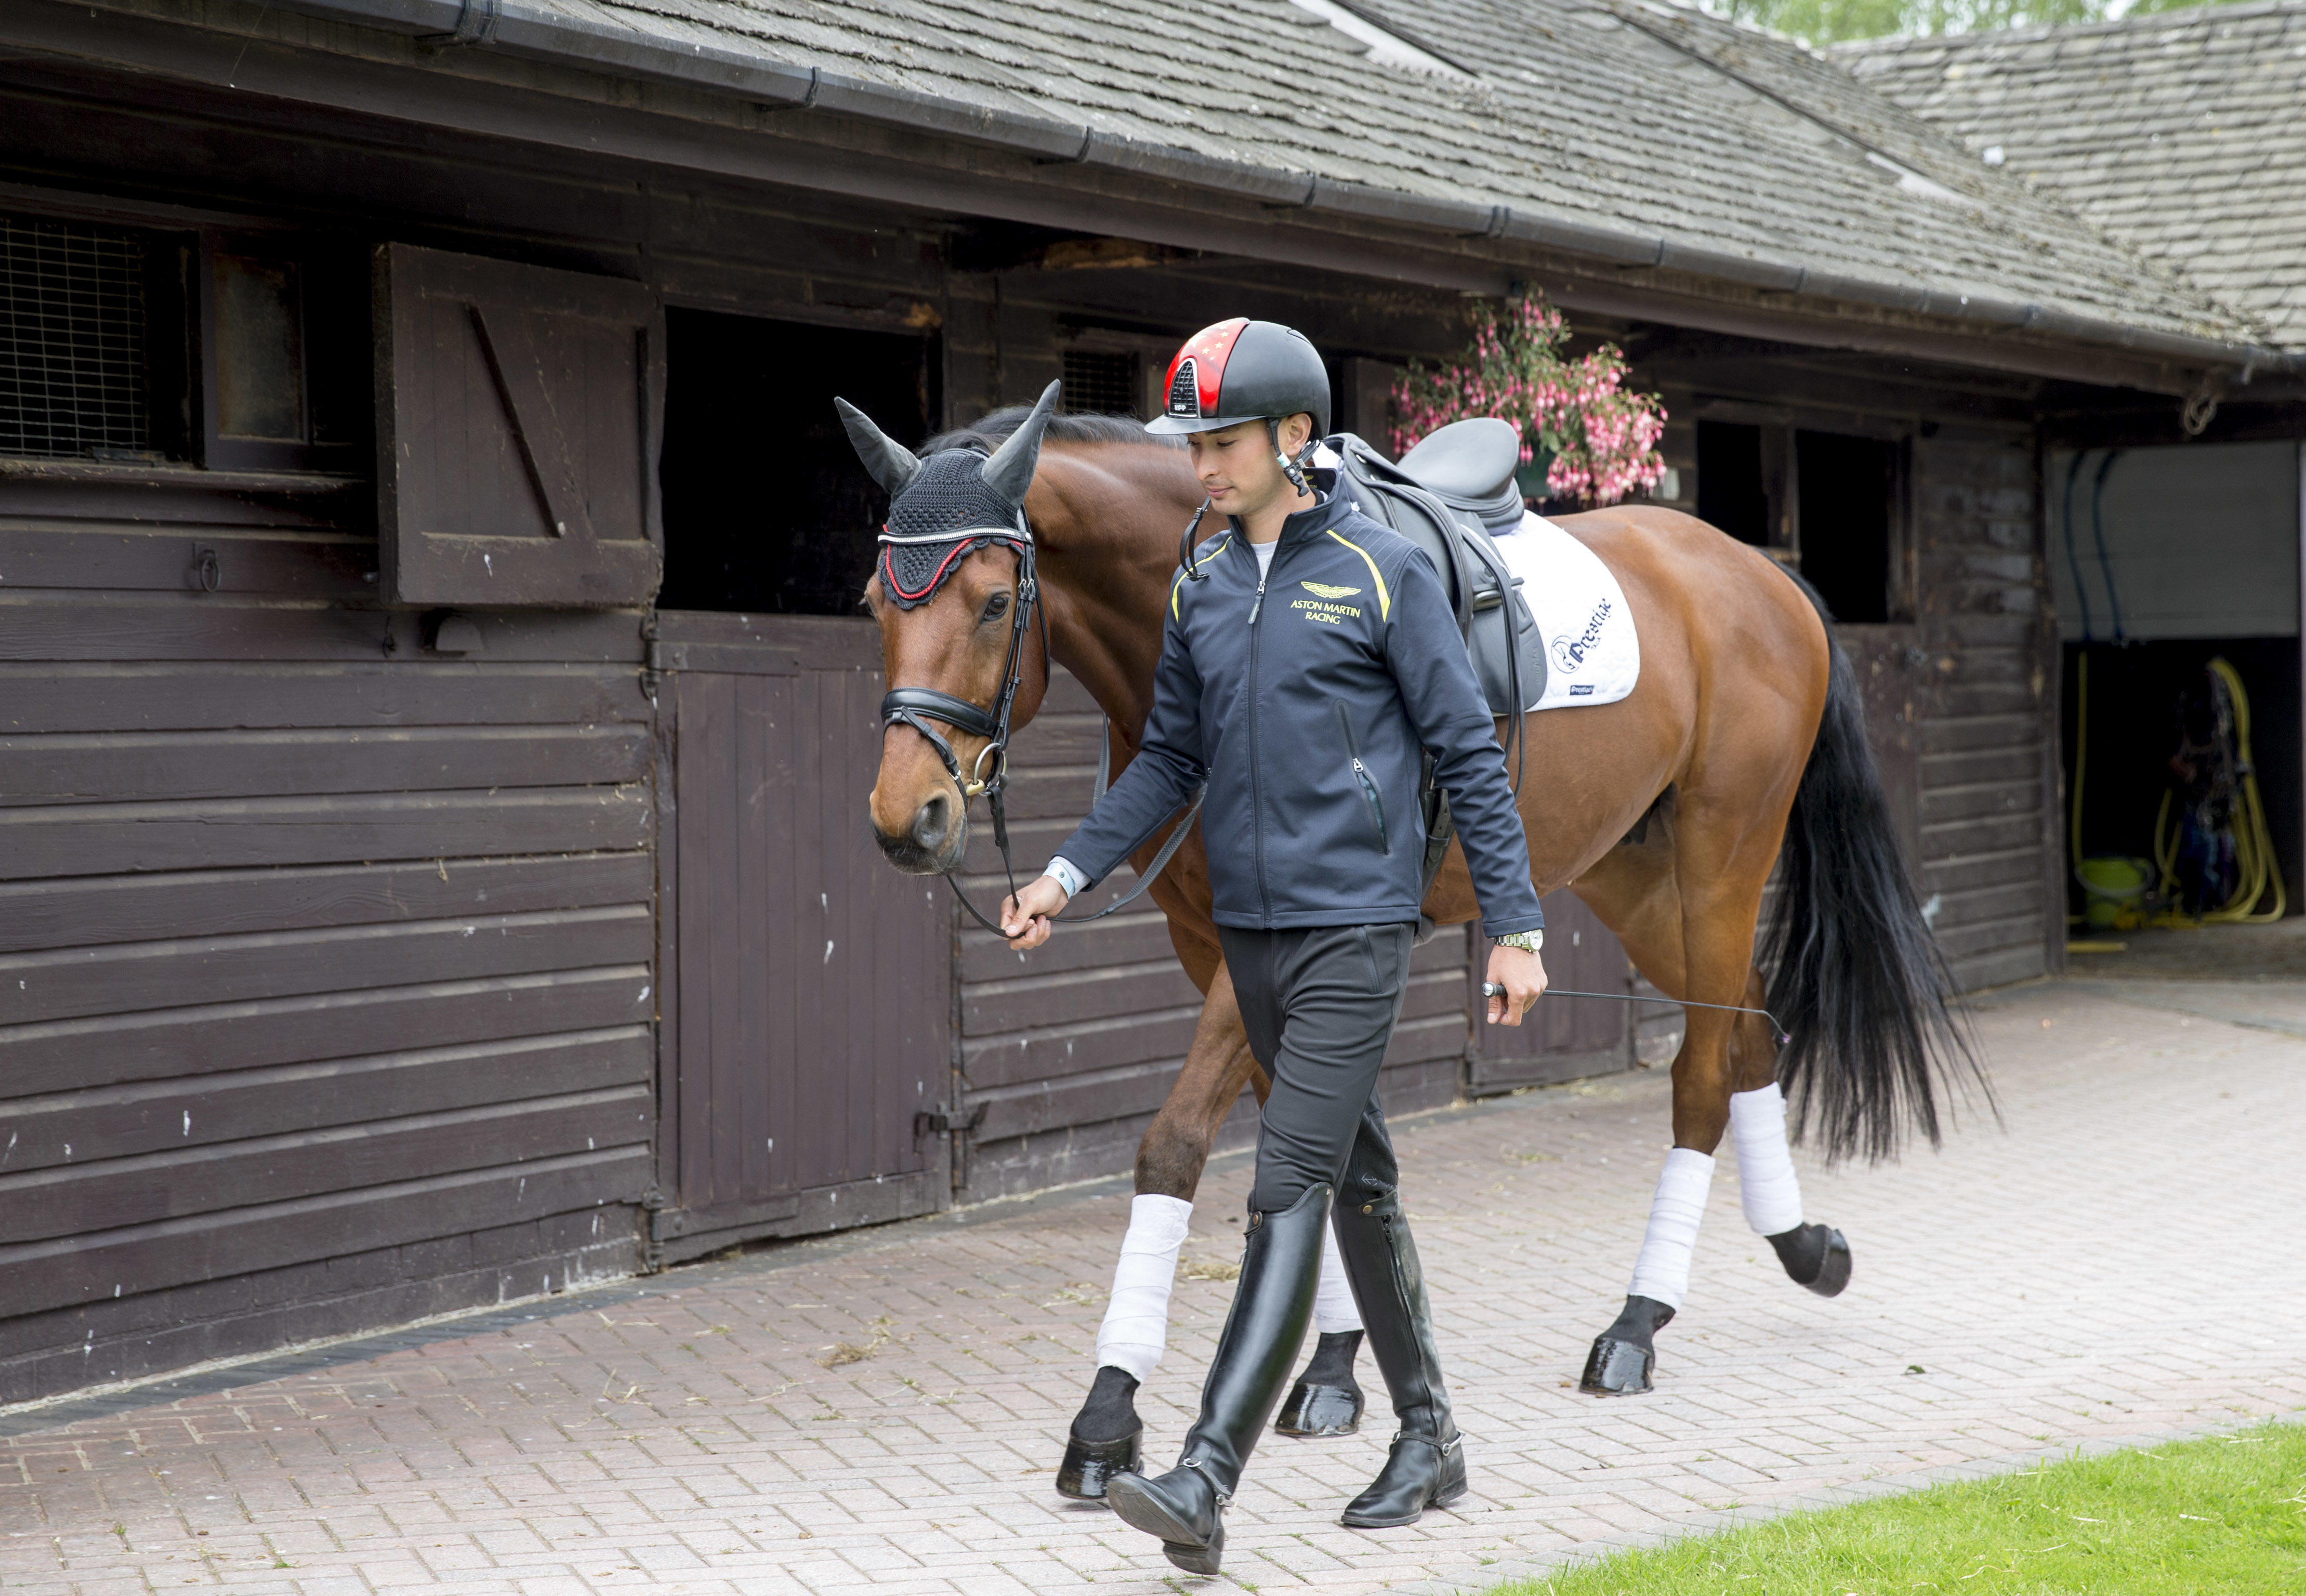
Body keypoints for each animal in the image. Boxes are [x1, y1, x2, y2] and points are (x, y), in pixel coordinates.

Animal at [858, 406, 1974, 1494]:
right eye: (876, 602)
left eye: (993, 603)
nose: (907, 819)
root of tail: (1757, 572)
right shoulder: (1223, 946)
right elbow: (1321, 1141)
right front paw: (1331, 1371)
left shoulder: (1275, 947)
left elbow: (1179, 1146)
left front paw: (1108, 1415)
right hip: (1632, 878)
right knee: (1744, 1034)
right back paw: (1801, 1247)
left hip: (1720, 864)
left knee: (1701, 1070)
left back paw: (1634, 1327)